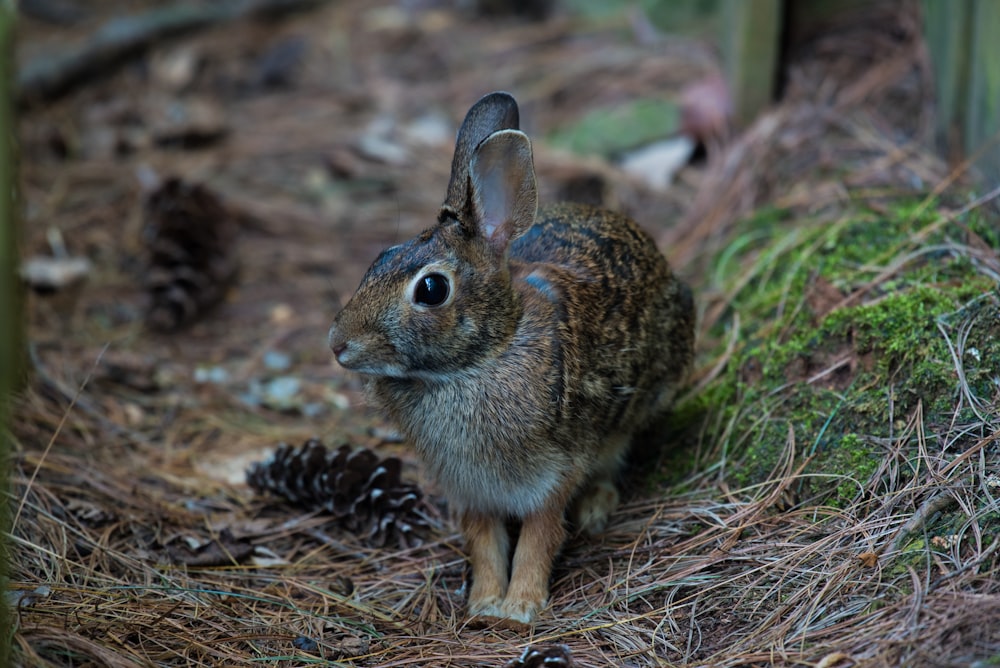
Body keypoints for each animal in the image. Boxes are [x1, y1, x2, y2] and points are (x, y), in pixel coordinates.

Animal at [328, 91, 696, 624]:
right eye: (381, 256)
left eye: (431, 289)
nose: (338, 343)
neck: (480, 359)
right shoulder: (470, 490)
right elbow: (484, 543)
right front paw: (484, 604)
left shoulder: (554, 473)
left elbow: (538, 538)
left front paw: (521, 607)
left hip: (638, 406)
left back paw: (595, 509)